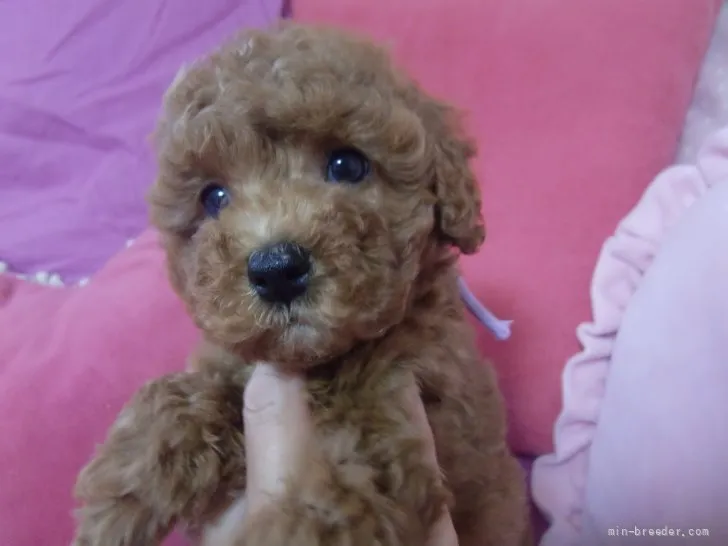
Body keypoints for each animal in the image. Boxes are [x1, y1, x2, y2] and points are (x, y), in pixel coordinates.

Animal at [71, 22, 532, 544]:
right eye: (214, 197)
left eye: (347, 165)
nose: (276, 269)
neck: (318, 363)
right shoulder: (235, 362)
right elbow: (182, 396)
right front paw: (122, 488)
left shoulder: (412, 403)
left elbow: (356, 482)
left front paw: (291, 528)